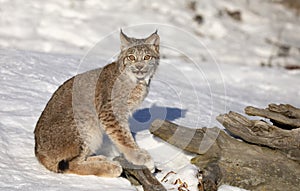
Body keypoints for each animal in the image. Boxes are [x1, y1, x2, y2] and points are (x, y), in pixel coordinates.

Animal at [34, 30, 161, 178]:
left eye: (147, 57)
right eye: (131, 57)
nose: (139, 67)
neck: (138, 81)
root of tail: (37, 151)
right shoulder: (110, 112)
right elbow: (123, 137)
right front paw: (140, 158)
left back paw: (101, 159)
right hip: (85, 119)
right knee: (72, 165)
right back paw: (110, 168)